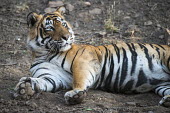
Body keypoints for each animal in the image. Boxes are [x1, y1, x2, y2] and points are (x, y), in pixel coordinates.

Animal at [13, 6, 170, 106]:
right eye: (50, 28)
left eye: (64, 24)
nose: (66, 37)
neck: (45, 53)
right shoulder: (52, 77)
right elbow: (41, 82)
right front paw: (24, 88)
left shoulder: (83, 61)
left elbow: (79, 79)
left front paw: (75, 94)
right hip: (163, 86)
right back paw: (167, 101)